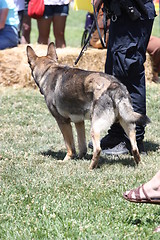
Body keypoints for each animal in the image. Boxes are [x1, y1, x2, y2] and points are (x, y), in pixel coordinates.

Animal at [26, 43, 150, 171]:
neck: (48, 70)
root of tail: (115, 85)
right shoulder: (79, 122)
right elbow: (82, 145)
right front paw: (80, 157)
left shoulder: (63, 122)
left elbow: (70, 146)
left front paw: (66, 160)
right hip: (128, 124)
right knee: (135, 148)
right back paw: (140, 164)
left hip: (95, 127)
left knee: (98, 149)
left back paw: (90, 167)